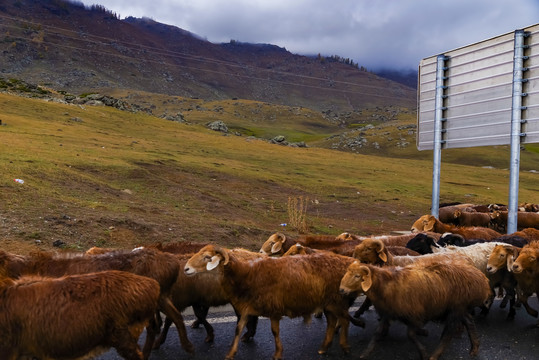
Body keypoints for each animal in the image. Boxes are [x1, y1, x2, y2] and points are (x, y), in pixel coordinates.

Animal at [184, 245, 360, 360]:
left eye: (207, 258)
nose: (185, 269)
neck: (246, 274)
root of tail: (348, 261)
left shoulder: (274, 308)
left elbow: (274, 332)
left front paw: (277, 354)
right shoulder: (247, 307)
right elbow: (238, 329)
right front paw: (231, 353)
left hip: (337, 300)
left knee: (344, 321)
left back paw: (344, 346)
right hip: (329, 303)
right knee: (332, 323)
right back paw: (324, 348)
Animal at [342, 258, 494, 360]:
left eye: (357, 276)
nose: (341, 290)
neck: (387, 284)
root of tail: (481, 278)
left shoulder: (414, 314)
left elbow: (411, 334)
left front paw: (424, 353)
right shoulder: (388, 312)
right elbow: (377, 334)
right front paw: (365, 353)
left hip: (456, 308)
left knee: (448, 333)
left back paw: (435, 355)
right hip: (461, 308)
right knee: (469, 322)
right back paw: (475, 348)